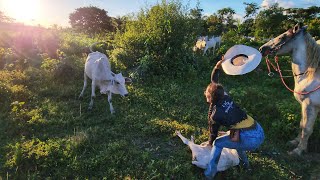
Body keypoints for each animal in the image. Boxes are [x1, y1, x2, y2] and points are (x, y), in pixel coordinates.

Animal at [260, 23, 320, 156]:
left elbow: (307, 129)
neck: (309, 76)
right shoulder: (305, 105)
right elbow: (302, 124)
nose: (262, 49)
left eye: (282, 37)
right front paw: (295, 142)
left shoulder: (310, 105)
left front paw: (298, 150)